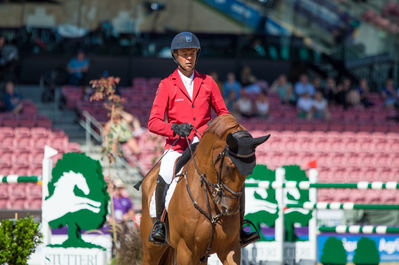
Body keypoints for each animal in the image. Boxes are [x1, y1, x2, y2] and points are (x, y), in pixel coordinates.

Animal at [140, 112, 268, 262]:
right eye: (228, 167)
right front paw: (182, 129)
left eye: (250, 170)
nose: (228, 209)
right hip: (152, 249)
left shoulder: (230, 248)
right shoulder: (185, 251)